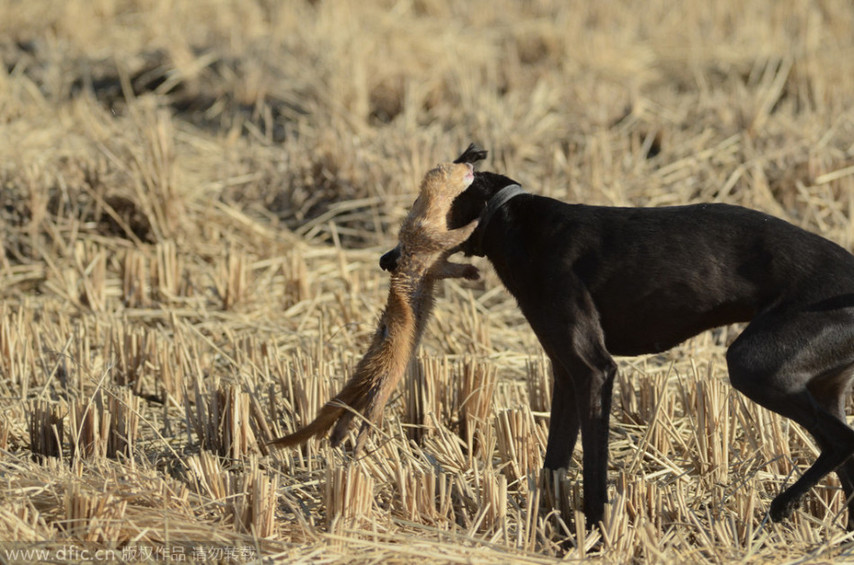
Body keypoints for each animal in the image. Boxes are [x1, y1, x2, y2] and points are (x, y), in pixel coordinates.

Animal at [384, 144, 854, 528]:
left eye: (422, 209)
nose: (387, 260)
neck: (510, 219)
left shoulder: (594, 370)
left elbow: (594, 468)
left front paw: (594, 529)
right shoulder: (565, 374)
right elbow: (554, 460)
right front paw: (550, 525)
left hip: (755, 365)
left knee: (842, 441)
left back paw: (781, 506)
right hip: (818, 383)